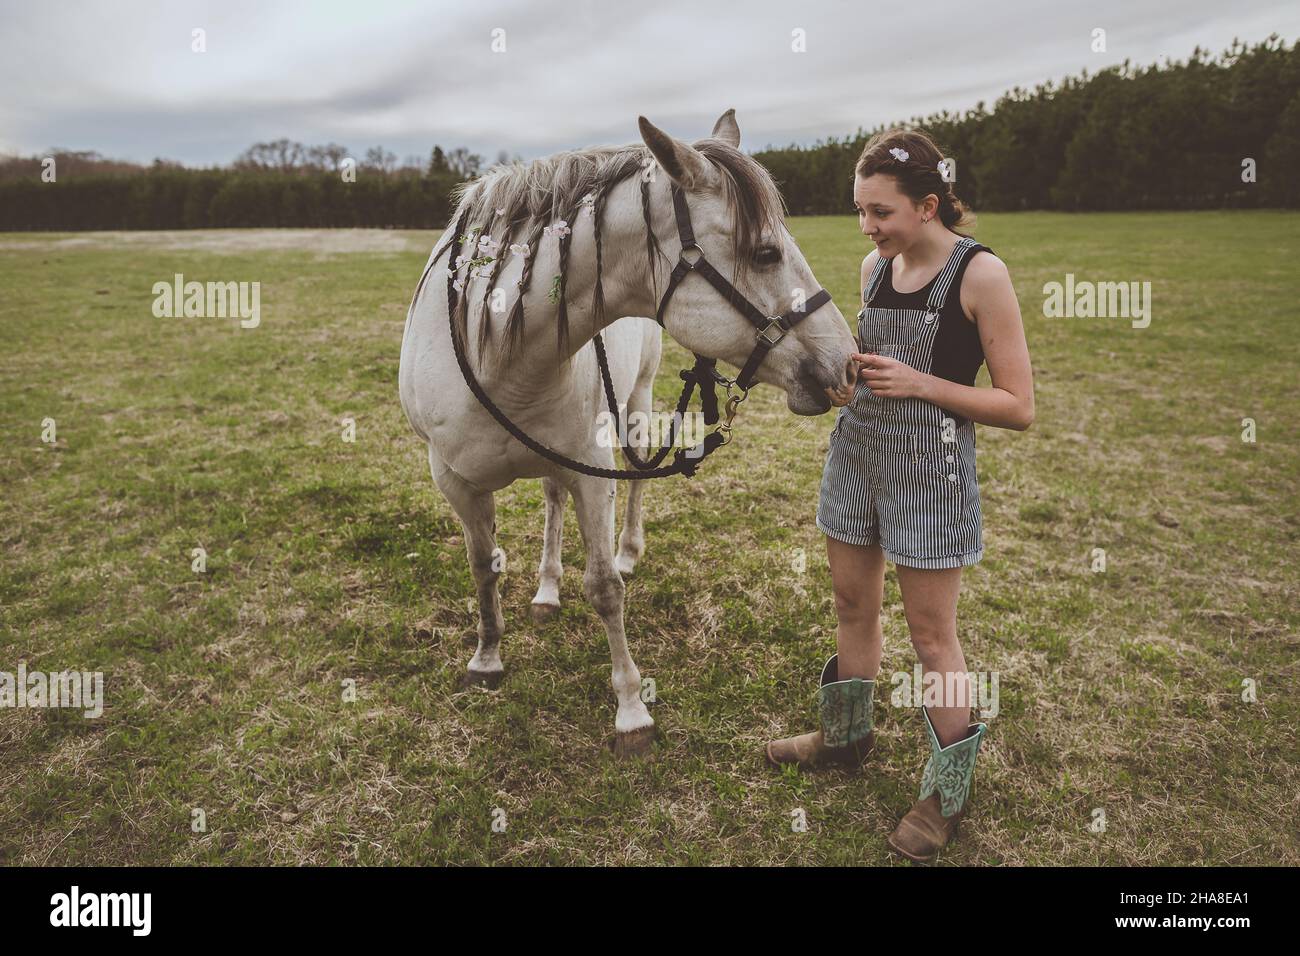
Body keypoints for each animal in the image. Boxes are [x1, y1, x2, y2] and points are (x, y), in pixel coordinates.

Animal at [400, 110, 857, 754]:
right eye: (766, 253)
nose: (847, 363)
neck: (501, 356)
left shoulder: (593, 470)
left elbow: (604, 588)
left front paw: (631, 710)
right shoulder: (455, 481)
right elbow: (483, 565)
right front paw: (487, 657)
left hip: (633, 407)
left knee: (631, 481)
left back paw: (627, 552)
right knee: (551, 497)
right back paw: (546, 590)